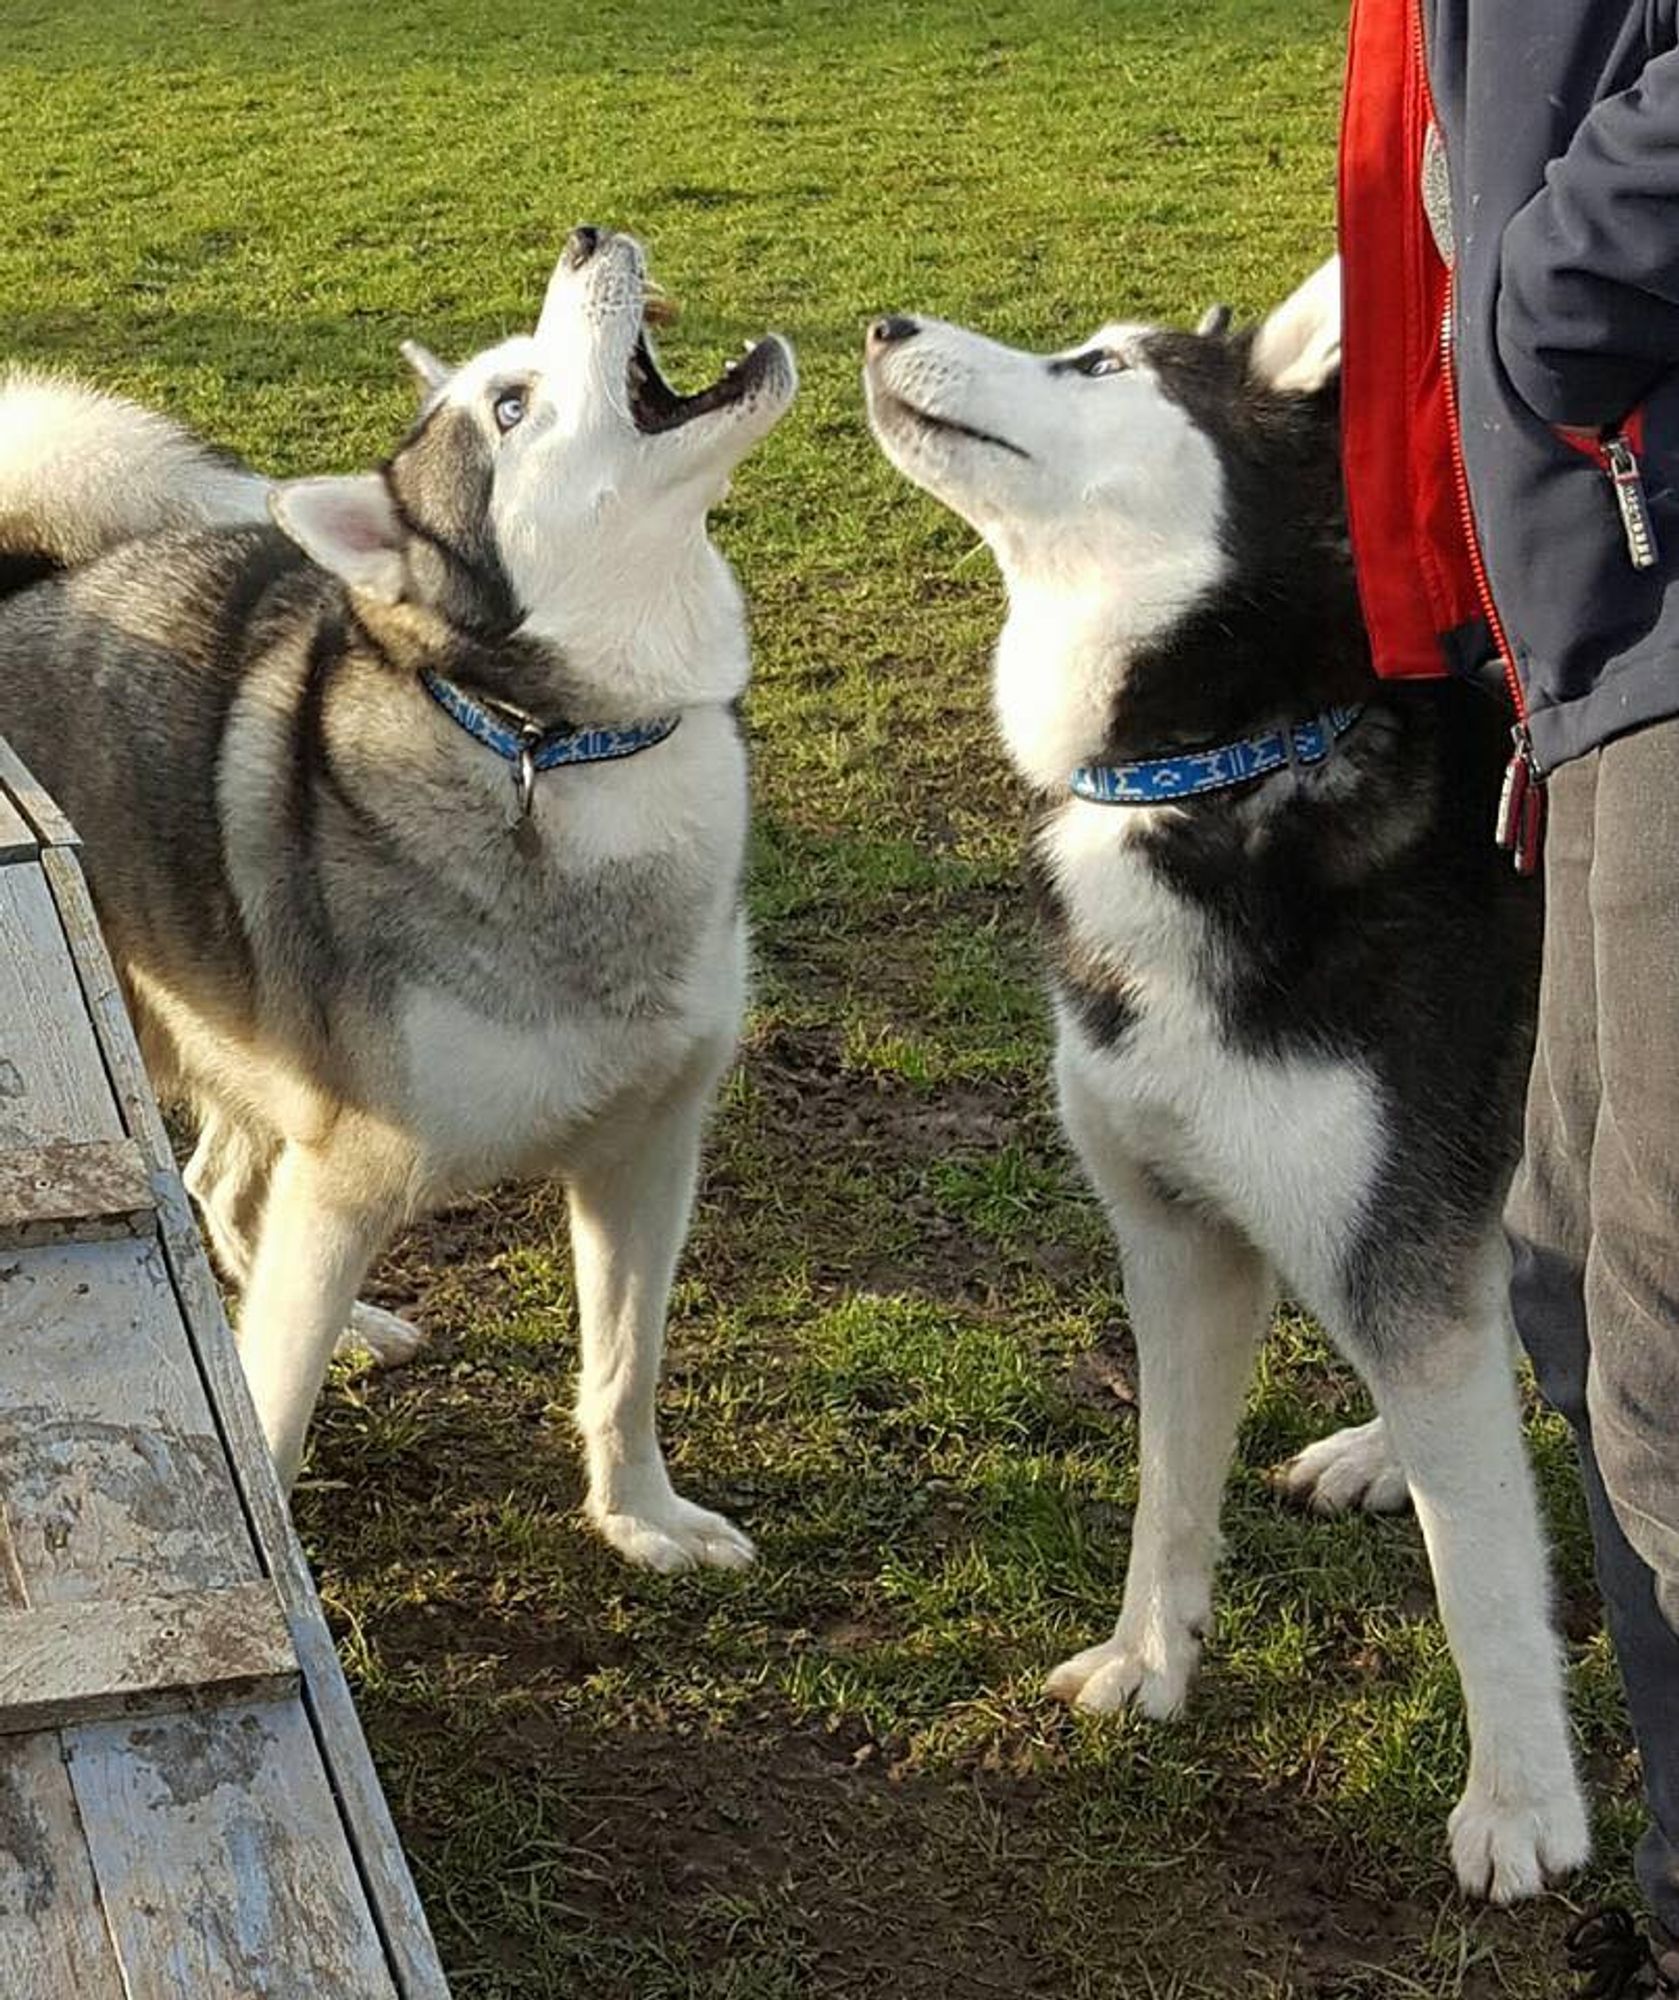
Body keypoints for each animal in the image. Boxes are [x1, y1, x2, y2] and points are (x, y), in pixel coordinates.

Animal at [0, 230, 795, 1576]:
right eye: (511, 407)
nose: (587, 239)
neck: (560, 748)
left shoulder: (645, 1152)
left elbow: (623, 1368)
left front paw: (639, 1514)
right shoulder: (348, 1176)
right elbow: (271, 1412)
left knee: (218, 1179)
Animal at [867, 266, 1591, 1904]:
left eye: (1100, 365)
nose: (879, 330)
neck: (1218, 768)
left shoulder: (1388, 1242)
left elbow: (1479, 1573)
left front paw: (1520, 1801)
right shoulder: (1175, 1237)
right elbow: (1166, 1487)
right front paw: (1149, 1661)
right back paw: (1380, 1448)